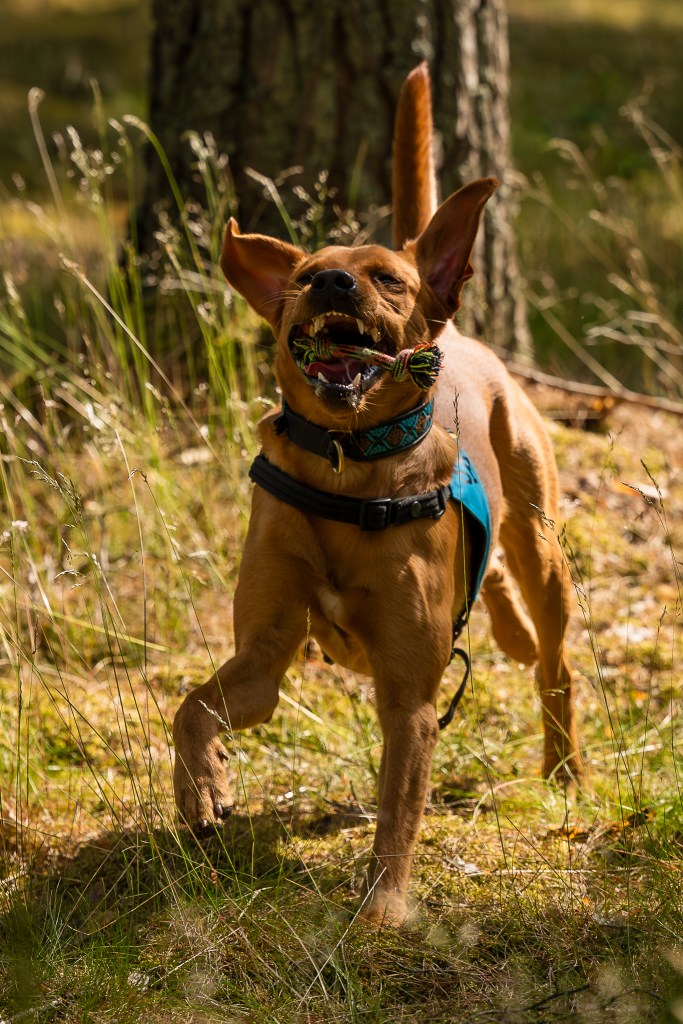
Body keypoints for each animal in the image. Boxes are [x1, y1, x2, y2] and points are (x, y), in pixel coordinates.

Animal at [172, 63, 581, 926]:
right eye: (302, 277)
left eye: (387, 280)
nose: (330, 282)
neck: (346, 467)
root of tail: (455, 333)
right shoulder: (263, 658)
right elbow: (193, 705)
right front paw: (202, 792)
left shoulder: (408, 697)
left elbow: (398, 806)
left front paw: (382, 909)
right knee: (499, 592)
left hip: (543, 547)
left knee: (553, 660)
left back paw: (563, 766)